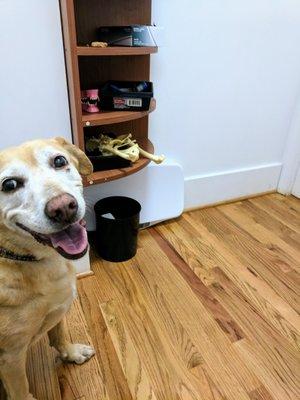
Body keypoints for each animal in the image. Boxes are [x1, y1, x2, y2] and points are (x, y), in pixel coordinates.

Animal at [0, 138, 95, 400]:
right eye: (9, 184)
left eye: (59, 161)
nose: (63, 208)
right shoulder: (10, 358)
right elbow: (20, 390)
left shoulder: (58, 310)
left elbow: (59, 335)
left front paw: (71, 354)